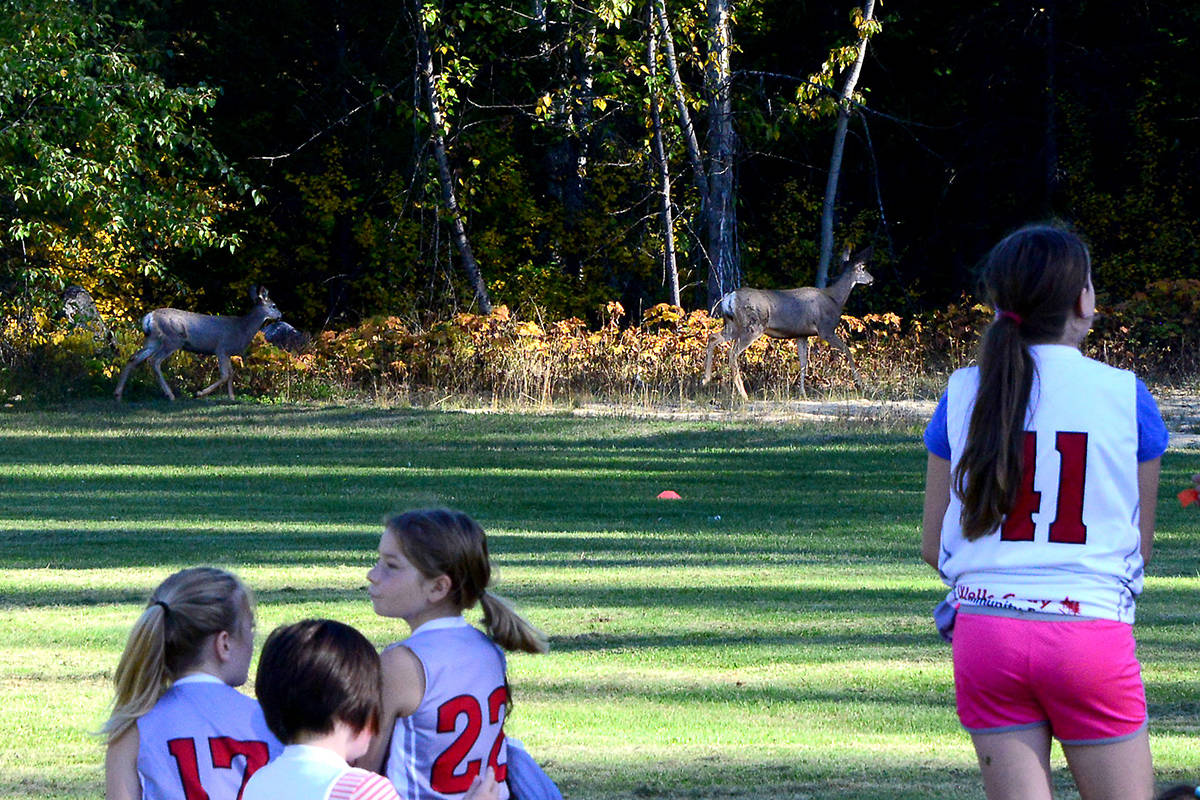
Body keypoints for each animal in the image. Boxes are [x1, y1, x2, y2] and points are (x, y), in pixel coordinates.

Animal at [116, 286, 285, 402]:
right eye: (274, 305)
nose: (280, 315)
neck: (243, 329)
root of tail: (149, 317)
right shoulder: (221, 348)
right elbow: (225, 375)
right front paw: (199, 393)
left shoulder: (228, 352)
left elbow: (231, 374)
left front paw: (232, 397)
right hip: (173, 339)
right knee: (154, 361)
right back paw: (170, 395)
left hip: (153, 340)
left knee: (134, 358)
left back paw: (118, 394)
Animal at [700, 247, 878, 400]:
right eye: (862, 268)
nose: (872, 279)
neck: (834, 299)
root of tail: (730, 297)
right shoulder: (825, 329)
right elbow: (847, 351)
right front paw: (860, 384)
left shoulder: (802, 334)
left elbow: (803, 362)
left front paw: (802, 392)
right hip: (752, 326)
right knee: (733, 353)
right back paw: (743, 394)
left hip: (732, 325)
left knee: (713, 337)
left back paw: (705, 379)